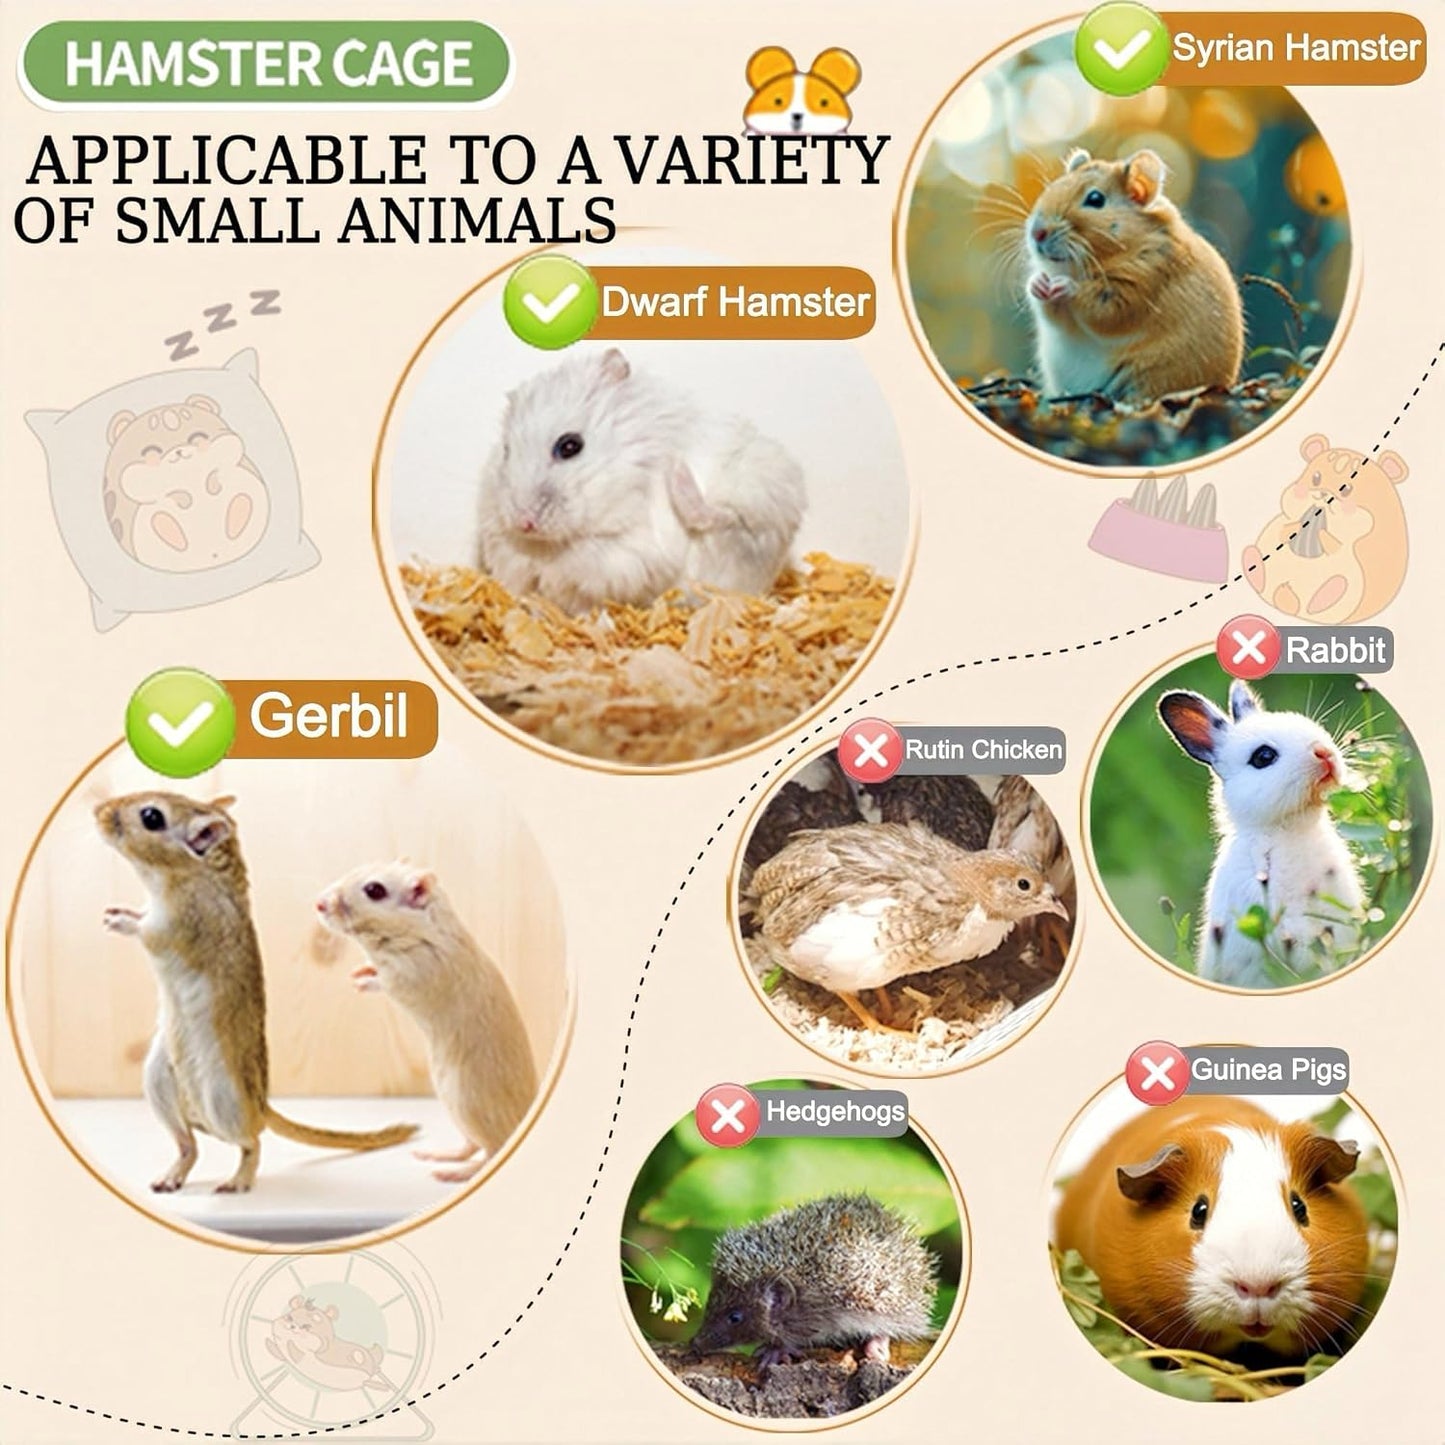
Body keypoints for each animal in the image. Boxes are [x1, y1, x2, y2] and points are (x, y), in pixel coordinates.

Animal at [96, 792, 417, 1193]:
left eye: (151, 817)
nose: (97, 812)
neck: (188, 872)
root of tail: (260, 1105)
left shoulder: (173, 925)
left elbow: (145, 929)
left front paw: (117, 920)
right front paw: (114, 912)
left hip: (223, 1101)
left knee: (252, 1141)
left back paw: (237, 1181)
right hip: (158, 1079)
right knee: (190, 1144)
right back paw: (170, 1178)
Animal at [316, 862, 538, 1183]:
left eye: (374, 890)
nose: (318, 904)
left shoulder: (412, 973)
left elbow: (385, 982)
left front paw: (362, 983)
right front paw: (359, 972)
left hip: (467, 1104)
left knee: (490, 1154)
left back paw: (452, 1173)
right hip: (452, 1106)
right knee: (472, 1146)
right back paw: (438, 1155)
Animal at [476, 347, 806, 614]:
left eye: (570, 446)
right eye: (506, 450)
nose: (524, 523)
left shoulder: (625, 556)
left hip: (763, 482)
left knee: (724, 519)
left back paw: (679, 474)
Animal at [1025, 150, 1244, 402]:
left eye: (1095, 199)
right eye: (1054, 185)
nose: (1037, 233)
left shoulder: (1143, 281)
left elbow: (1106, 311)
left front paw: (1068, 287)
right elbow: (1053, 315)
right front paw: (1037, 283)